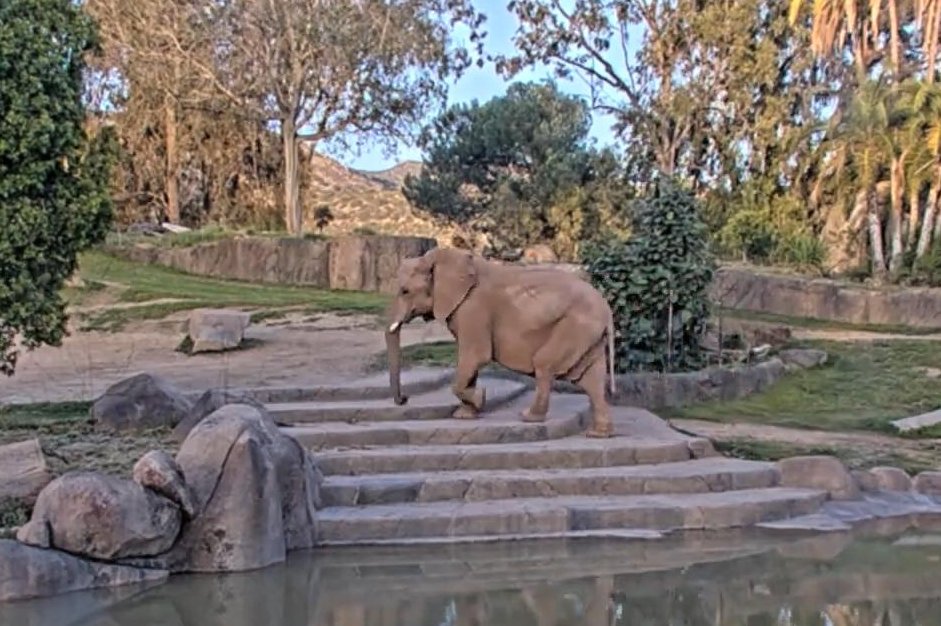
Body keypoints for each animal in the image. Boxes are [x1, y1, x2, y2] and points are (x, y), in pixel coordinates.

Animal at [383, 247, 617, 438]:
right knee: (591, 379)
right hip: (588, 334)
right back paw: (598, 434)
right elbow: (471, 362)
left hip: (575, 327)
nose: (404, 399)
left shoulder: (474, 308)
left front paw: (480, 399)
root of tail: (607, 309)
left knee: (544, 364)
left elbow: (476, 355)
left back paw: (529, 417)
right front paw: (465, 415)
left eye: (404, 291)